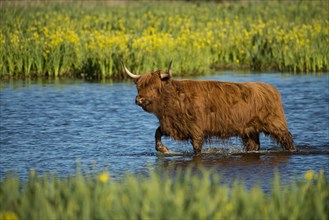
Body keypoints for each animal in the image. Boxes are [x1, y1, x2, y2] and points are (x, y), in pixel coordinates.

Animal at [121, 61, 296, 156]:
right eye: (139, 86)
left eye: (154, 87)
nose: (139, 99)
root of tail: (270, 88)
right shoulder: (171, 126)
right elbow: (157, 133)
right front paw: (164, 149)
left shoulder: (196, 130)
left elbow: (197, 149)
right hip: (249, 130)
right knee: (253, 145)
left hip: (275, 124)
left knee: (287, 138)